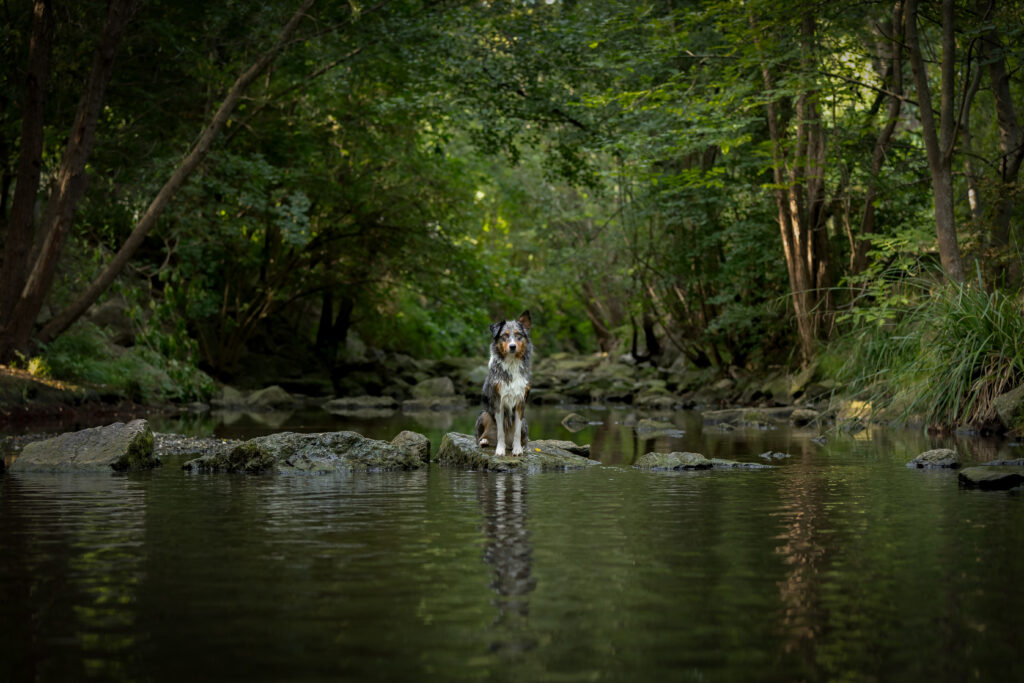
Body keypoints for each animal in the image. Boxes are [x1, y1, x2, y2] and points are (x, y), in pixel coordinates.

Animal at [473, 313, 532, 456]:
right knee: (479, 437)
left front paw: (518, 449)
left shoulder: (520, 402)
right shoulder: (498, 401)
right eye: (504, 336)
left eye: (518, 335)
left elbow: (517, 432)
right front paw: (500, 450)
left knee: (524, 438)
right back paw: (485, 442)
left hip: (525, 422)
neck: (511, 364)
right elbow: (500, 432)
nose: (512, 346)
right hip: (484, 414)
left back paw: (522, 447)